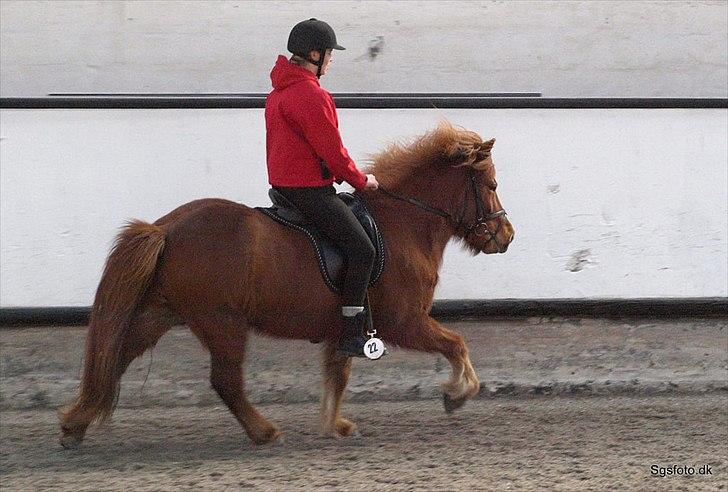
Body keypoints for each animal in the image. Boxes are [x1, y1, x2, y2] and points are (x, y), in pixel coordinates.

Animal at [59, 122, 516, 446]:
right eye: (492, 185)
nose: (507, 236)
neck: (403, 223)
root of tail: (166, 228)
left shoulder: (345, 328)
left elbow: (338, 373)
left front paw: (334, 425)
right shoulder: (404, 322)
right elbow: (456, 344)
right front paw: (457, 394)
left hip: (160, 314)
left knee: (116, 360)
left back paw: (74, 425)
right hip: (222, 322)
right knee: (225, 381)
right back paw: (264, 432)